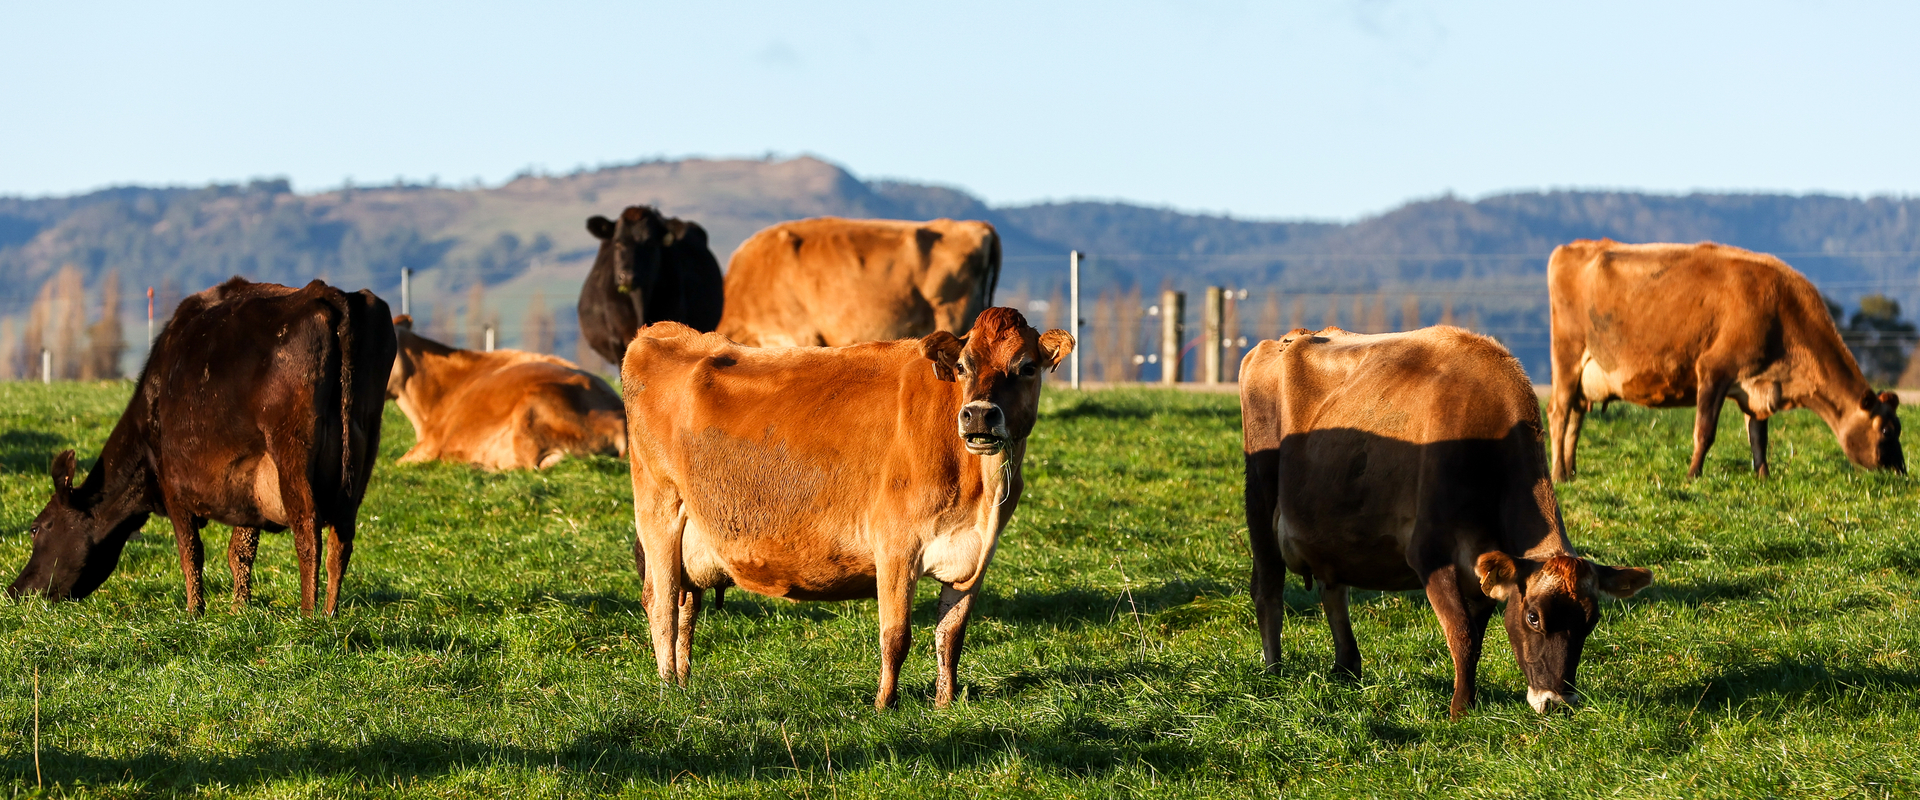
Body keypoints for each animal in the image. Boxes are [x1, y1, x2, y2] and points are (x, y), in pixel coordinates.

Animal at [9, 278, 395, 616]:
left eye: (36, 527)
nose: (15, 589)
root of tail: (328, 294)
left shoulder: (170, 482)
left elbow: (190, 550)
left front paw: (195, 611)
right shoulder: (248, 476)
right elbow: (240, 550)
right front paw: (240, 609)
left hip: (291, 449)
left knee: (308, 532)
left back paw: (308, 616)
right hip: (363, 449)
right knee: (341, 539)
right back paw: (330, 613)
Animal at [622, 307, 1072, 709]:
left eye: (1027, 367)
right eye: (962, 366)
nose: (978, 415)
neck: (981, 493)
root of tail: (661, 331)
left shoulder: (975, 556)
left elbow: (951, 635)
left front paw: (945, 703)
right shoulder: (895, 546)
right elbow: (896, 636)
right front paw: (885, 705)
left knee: (685, 605)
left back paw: (683, 682)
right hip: (659, 508)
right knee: (661, 603)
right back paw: (668, 689)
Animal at [1241, 326, 1652, 720]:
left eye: (1591, 620)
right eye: (1533, 617)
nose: (1558, 702)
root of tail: (1283, 340)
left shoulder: (1483, 571)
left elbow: (1477, 636)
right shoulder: (1431, 554)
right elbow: (1463, 636)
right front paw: (1460, 711)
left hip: (1332, 535)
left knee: (1333, 591)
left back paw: (1347, 669)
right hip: (1259, 500)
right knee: (1268, 590)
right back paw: (1274, 671)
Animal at [1547, 239, 1904, 480]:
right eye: (1887, 431)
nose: (1901, 470)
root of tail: (1572, 247)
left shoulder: (1758, 383)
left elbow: (1759, 437)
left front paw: (1763, 476)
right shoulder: (1713, 369)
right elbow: (1705, 431)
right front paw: (1693, 475)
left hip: (1586, 374)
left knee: (1576, 416)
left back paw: (1572, 471)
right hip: (1567, 355)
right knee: (1559, 412)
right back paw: (1558, 474)